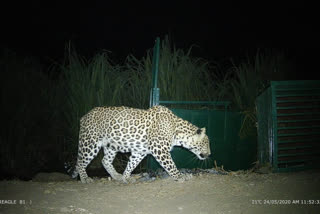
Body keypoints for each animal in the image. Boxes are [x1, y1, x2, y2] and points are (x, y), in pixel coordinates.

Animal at [73, 104, 212, 183]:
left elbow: (131, 164)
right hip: (90, 142)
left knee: (105, 160)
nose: (210, 154)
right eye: (206, 143)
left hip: (111, 145)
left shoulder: (140, 151)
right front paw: (180, 176)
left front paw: (126, 177)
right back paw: (85, 179)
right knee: (80, 161)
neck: (177, 131)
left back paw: (117, 176)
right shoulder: (160, 149)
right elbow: (171, 165)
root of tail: (83, 117)